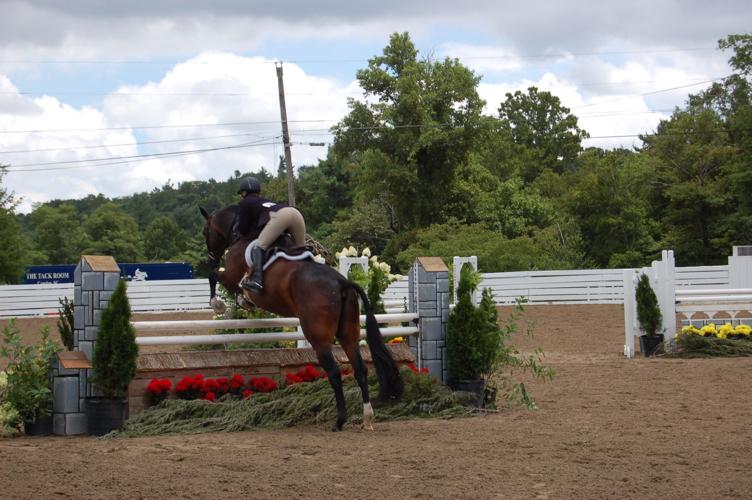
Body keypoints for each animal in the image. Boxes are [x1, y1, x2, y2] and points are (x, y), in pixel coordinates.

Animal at [199, 205, 404, 431]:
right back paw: (367, 416)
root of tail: (342, 282)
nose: (210, 258)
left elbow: (213, 276)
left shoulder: (231, 277)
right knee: (360, 370)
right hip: (349, 334)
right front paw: (240, 301)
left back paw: (340, 420)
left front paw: (218, 304)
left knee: (334, 372)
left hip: (319, 338)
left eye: (205, 231)